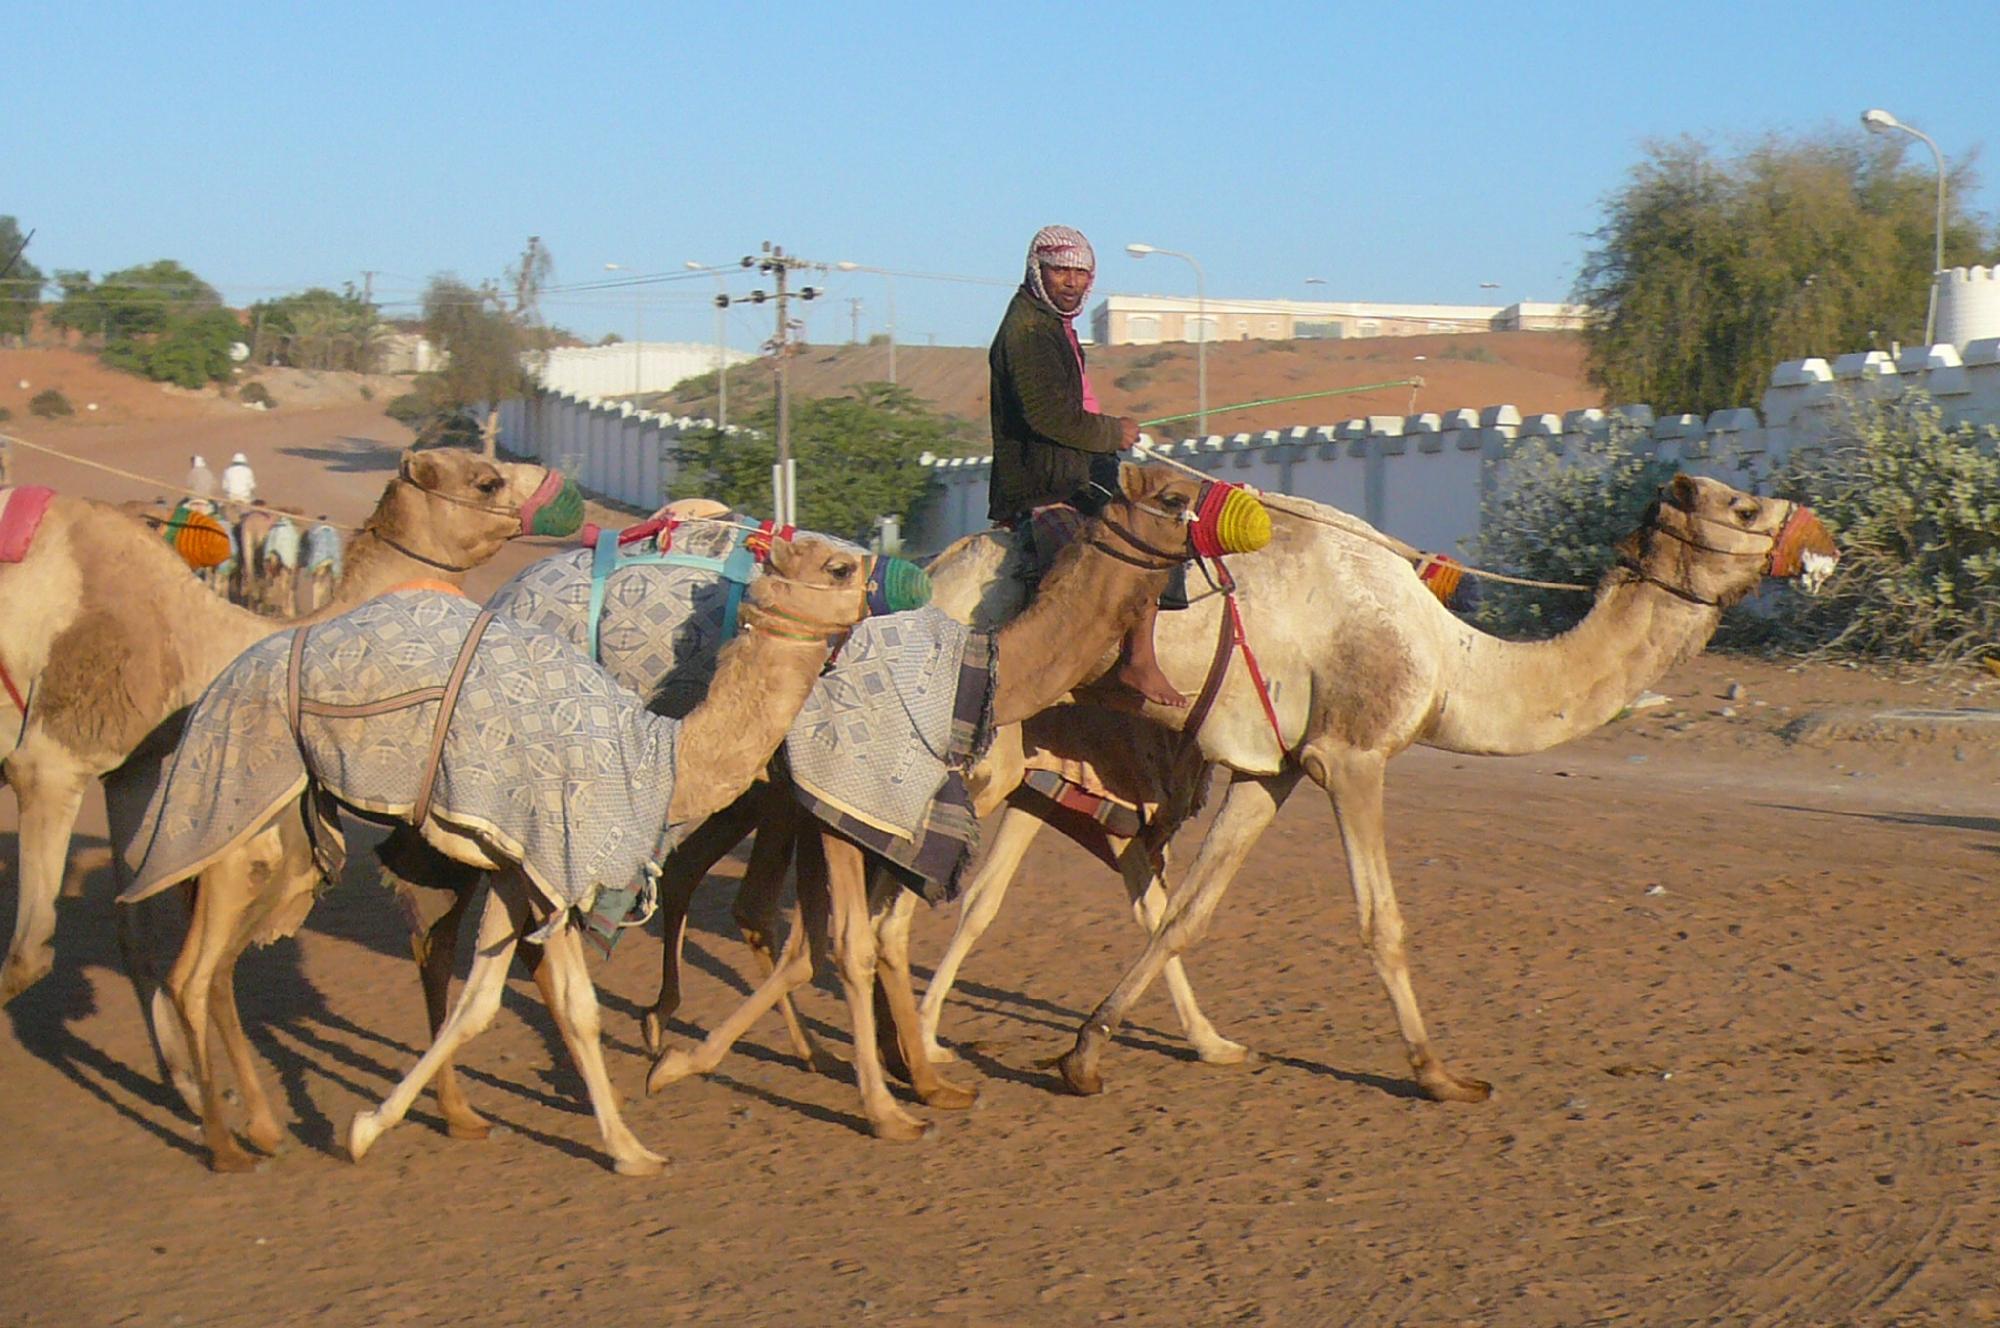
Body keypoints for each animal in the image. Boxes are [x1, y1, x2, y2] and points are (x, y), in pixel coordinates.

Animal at [0, 446, 580, 996]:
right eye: (487, 480)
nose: (566, 490)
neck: (193, 639)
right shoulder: (51, 764)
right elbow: (28, 958)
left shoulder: (130, 770)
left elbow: (137, 949)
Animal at [133, 528, 868, 1176]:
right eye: (838, 567)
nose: (873, 588)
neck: (659, 757)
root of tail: (217, 686)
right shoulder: (557, 864)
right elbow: (575, 1005)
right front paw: (631, 1150)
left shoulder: (519, 867)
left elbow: (481, 1004)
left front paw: (370, 1125)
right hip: (234, 807)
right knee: (191, 975)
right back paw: (225, 1147)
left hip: (289, 835)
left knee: (224, 967)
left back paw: (262, 1126)